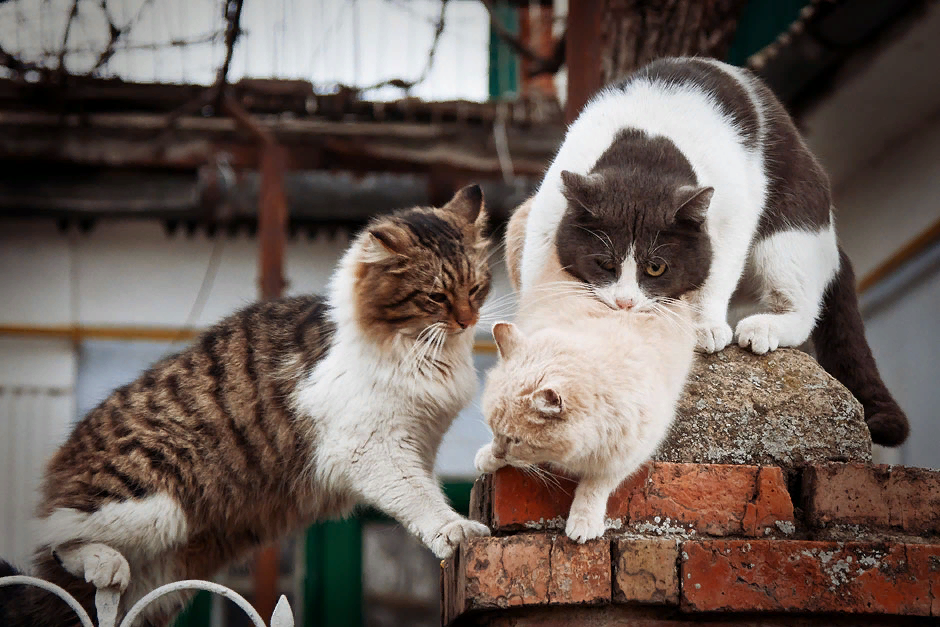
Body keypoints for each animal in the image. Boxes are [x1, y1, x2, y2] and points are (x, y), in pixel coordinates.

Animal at [516, 55, 908, 446]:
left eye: (656, 268)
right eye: (604, 264)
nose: (625, 302)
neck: (646, 150)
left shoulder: (734, 207)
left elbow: (718, 270)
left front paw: (705, 326)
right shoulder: (549, 206)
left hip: (789, 231)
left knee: (801, 307)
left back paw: (762, 328)